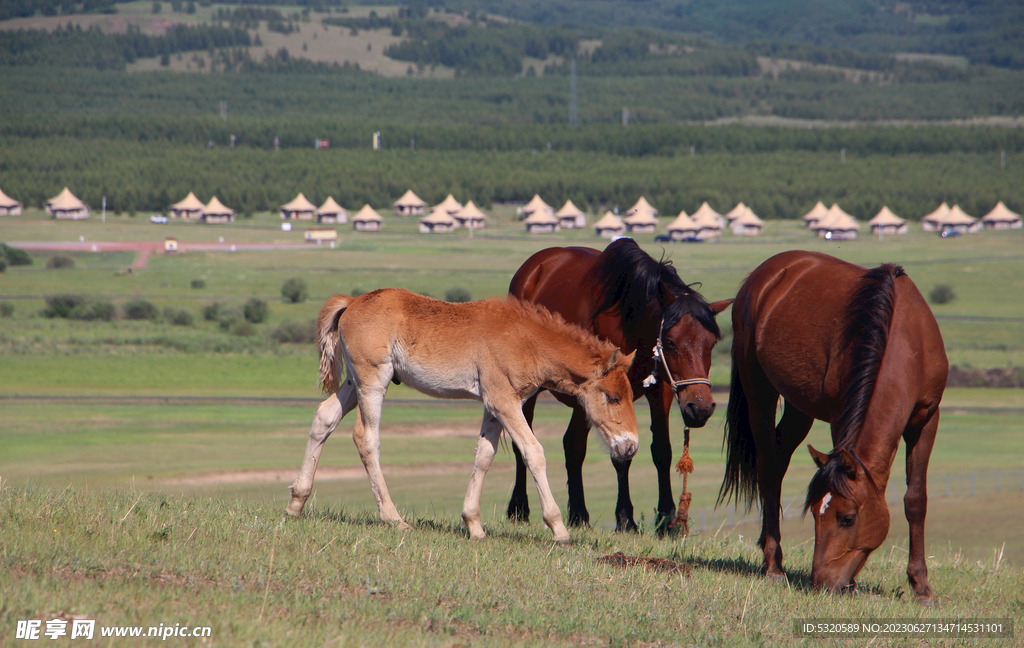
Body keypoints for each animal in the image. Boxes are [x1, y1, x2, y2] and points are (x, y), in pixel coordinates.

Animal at [286, 288, 638, 540]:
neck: (525, 339)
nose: (630, 445)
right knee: (366, 438)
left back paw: (296, 503)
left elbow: (484, 455)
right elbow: (533, 452)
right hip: (373, 380)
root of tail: (352, 302)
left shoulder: (494, 406)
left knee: (324, 417)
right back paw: (394, 518)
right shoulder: (504, 402)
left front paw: (474, 525)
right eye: (613, 397)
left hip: (353, 382)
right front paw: (558, 528)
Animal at [501, 237, 729, 532]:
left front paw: (666, 519)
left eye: (711, 343)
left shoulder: (660, 390)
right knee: (529, 440)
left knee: (571, 443)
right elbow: (618, 454)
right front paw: (625, 519)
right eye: (670, 343)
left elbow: (661, 450)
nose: (700, 407)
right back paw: (521, 508)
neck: (628, 321)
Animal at [716, 251, 946, 601]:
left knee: (778, 464)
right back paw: (774, 566)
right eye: (813, 512)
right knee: (768, 470)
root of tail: (765, 274)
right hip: (759, 391)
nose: (822, 582)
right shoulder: (841, 420)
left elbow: (915, 499)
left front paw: (921, 586)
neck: (907, 340)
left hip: (799, 409)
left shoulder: (926, 420)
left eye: (847, 518)